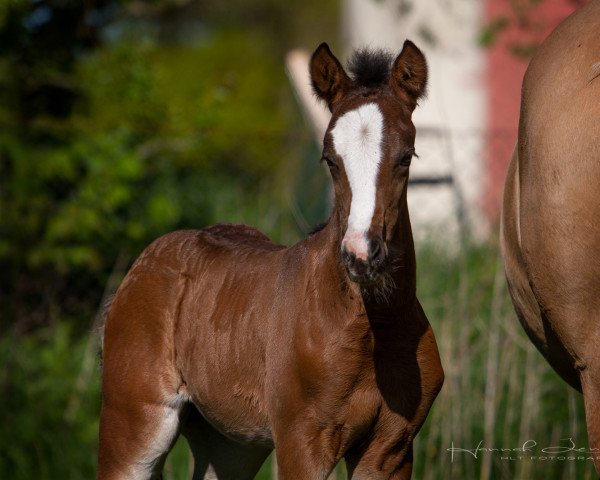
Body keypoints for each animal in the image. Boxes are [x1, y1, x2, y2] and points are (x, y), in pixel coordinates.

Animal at [98, 41, 442, 480]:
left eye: (406, 156)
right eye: (329, 159)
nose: (361, 256)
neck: (372, 329)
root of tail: (139, 269)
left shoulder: (391, 449)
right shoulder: (300, 443)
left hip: (229, 444)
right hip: (133, 422)